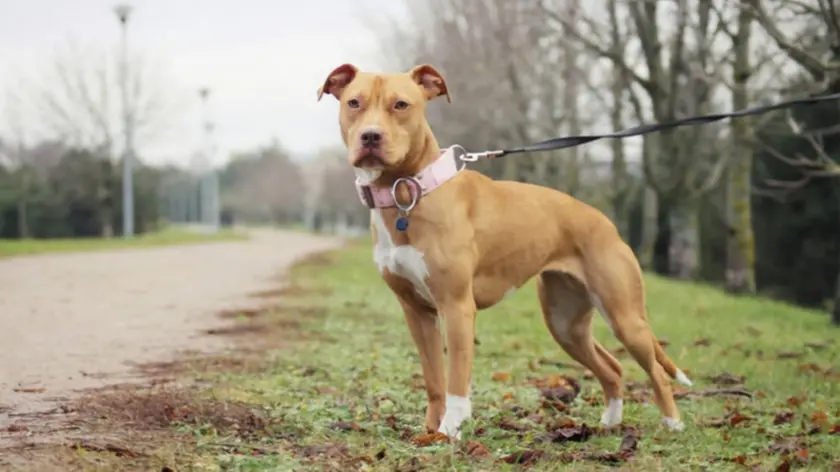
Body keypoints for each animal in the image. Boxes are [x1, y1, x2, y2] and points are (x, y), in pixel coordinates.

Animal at [318, 62, 692, 438]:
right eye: (354, 103)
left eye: (401, 105)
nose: (371, 136)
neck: (407, 190)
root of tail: (606, 222)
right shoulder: (417, 312)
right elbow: (434, 379)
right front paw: (429, 431)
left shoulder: (456, 307)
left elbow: (456, 381)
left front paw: (450, 431)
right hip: (565, 323)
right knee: (612, 367)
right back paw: (611, 422)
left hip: (624, 317)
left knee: (655, 370)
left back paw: (672, 422)